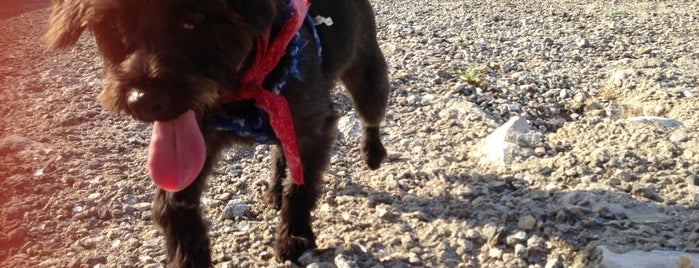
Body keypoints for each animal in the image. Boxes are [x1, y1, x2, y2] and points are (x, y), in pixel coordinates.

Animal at [46, 0, 392, 266]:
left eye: (197, 18)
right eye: (112, 24)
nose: (144, 101)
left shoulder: (312, 128)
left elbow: (301, 187)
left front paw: (295, 236)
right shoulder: (198, 139)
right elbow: (170, 203)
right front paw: (187, 255)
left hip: (368, 76)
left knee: (370, 117)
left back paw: (373, 153)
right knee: (280, 151)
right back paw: (274, 190)